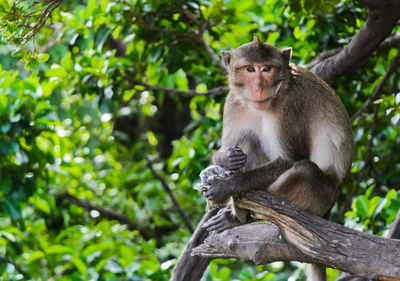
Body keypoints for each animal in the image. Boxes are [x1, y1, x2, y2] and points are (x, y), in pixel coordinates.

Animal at [200, 35, 354, 280]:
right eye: (250, 69)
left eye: (267, 69)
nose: (259, 88)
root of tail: (328, 209)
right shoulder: (232, 102)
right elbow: (231, 147)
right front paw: (224, 159)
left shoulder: (289, 106)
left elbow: (289, 160)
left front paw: (226, 186)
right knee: (248, 138)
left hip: (318, 199)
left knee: (305, 170)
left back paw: (242, 214)